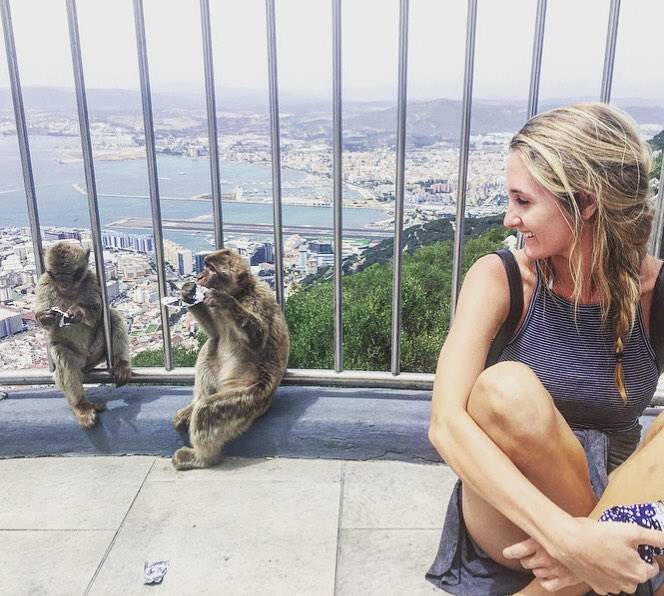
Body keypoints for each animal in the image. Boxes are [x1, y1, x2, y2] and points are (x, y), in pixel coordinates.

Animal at [35, 242, 132, 428]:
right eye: (56, 274)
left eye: (68, 273)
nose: (63, 282)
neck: (70, 291)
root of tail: (87, 362)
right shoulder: (44, 283)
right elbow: (45, 324)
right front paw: (45, 317)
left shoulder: (92, 279)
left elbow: (98, 312)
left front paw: (78, 311)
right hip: (79, 360)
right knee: (62, 354)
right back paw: (81, 405)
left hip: (96, 352)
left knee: (113, 316)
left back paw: (120, 364)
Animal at [171, 247, 288, 470]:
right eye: (205, 265)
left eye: (211, 269)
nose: (200, 275)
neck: (241, 293)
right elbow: (213, 331)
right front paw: (188, 292)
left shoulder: (259, 300)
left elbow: (258, 340)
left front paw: (224, 301)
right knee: (210, 347)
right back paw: (193, 406)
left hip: (248, 400)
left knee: (208, 411)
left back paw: (202, 457)